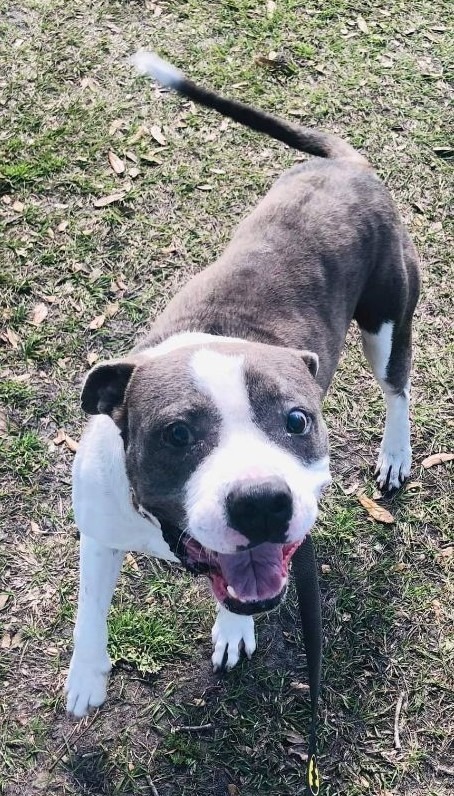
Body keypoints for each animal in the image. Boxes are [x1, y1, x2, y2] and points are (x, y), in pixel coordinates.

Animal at [63, 52, 418, 720]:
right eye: (176, 433)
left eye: (297, 421)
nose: (261, 502)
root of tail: (347, 166)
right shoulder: (98, 529)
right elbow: (90, 611)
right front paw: (86, 676)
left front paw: (233, 629)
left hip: (387, 326)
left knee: (397, 389)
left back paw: (395, 454)